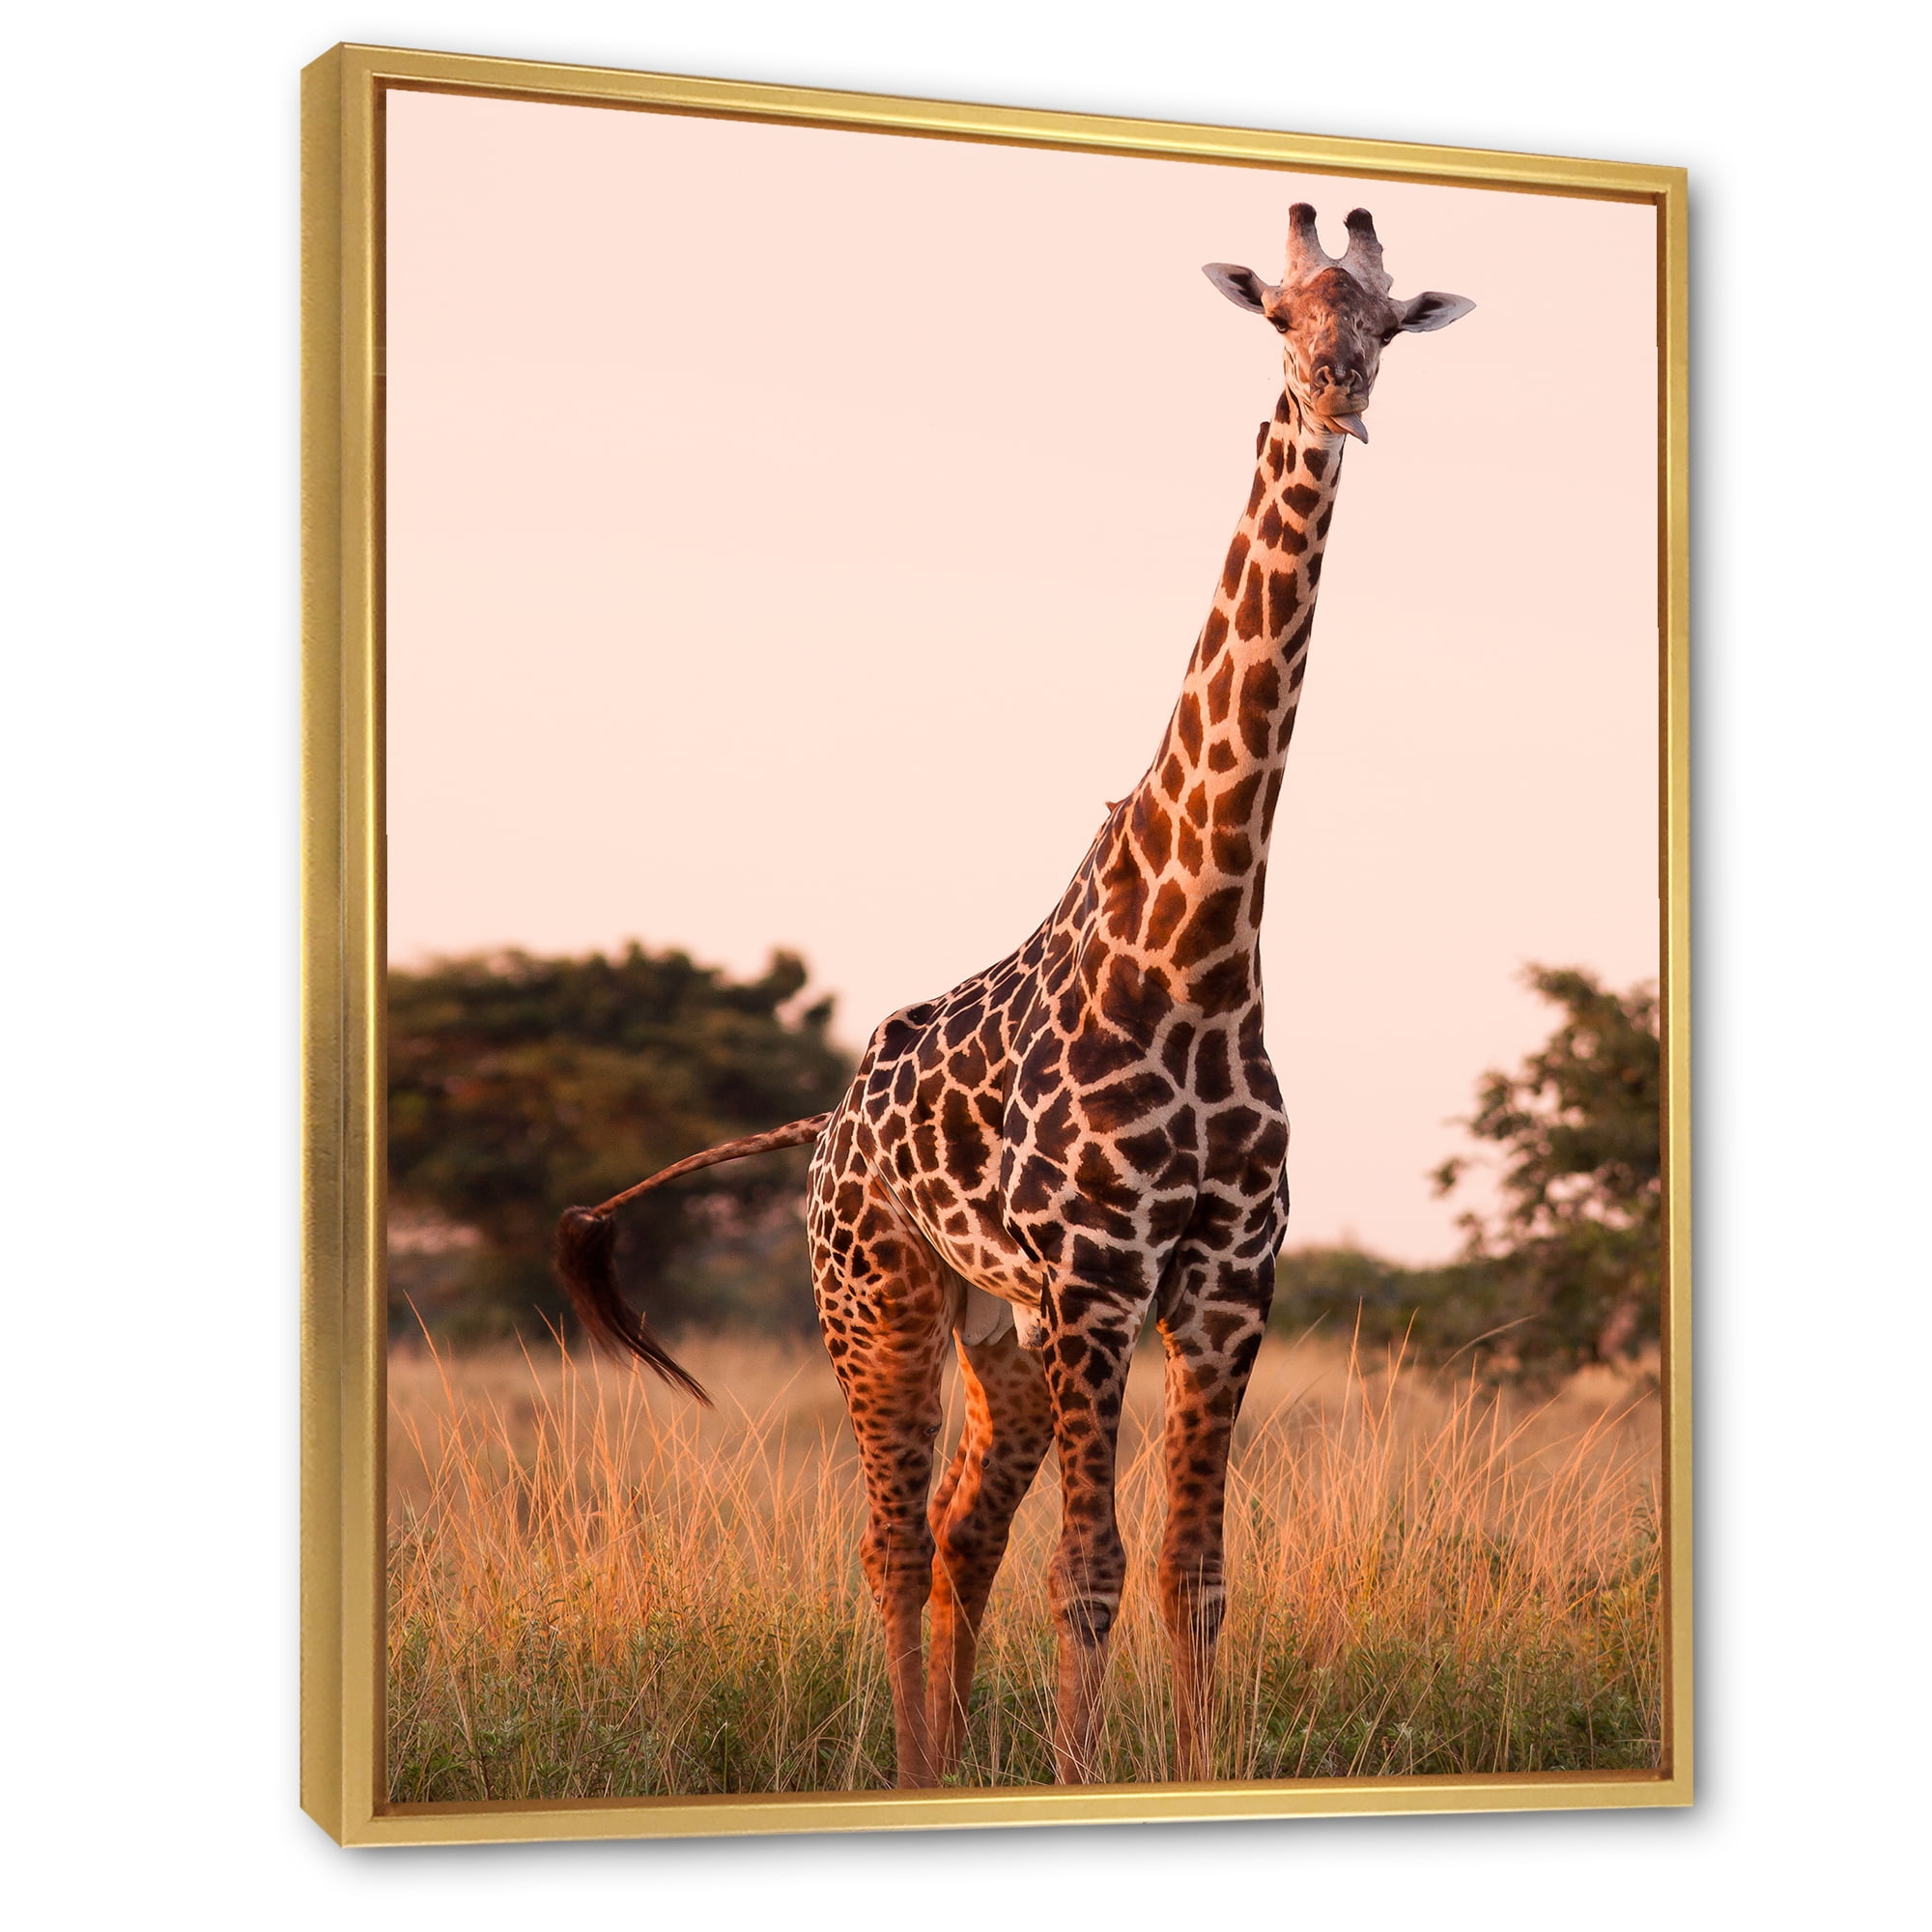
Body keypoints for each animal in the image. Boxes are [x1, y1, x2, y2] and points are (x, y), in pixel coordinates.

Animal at [557, 204, 1472, 1789]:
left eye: (1383, 322)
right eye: (1277, 317)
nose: (1336, 398)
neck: (1200, 956)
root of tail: (822, 1129)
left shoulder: (1224, 1284)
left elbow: (1191, 1573)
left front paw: (1184, 1772)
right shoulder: (1100, 1282)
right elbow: (1089, 1571)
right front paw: (1077, 1774)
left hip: (1006, 1337)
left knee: (955, 1536)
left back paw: (940, 1762)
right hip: (881, 1302)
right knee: (889, 1542)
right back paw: (916, 1768)